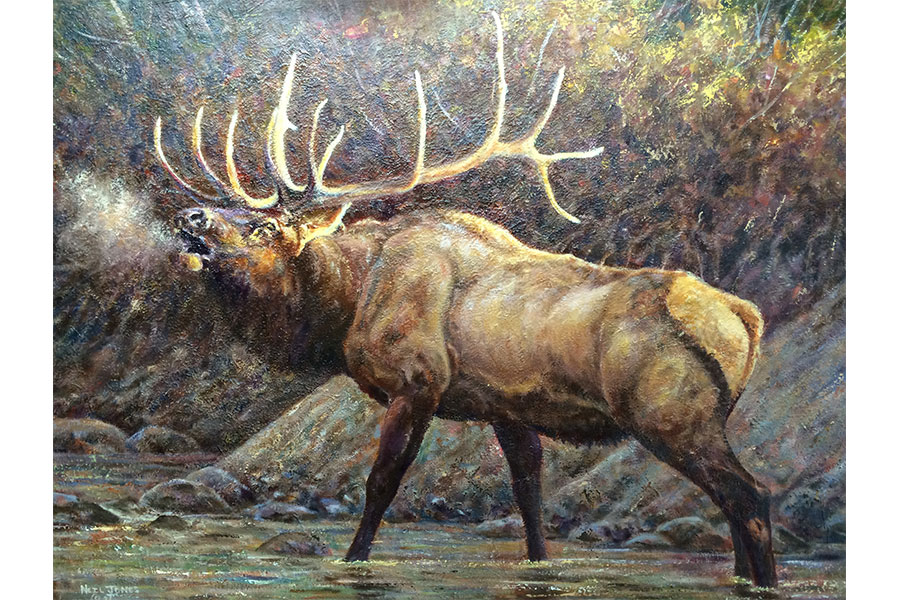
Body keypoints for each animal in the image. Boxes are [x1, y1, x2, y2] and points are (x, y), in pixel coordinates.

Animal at [153, 12, 777, 588]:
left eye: (264, 228)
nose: (191, 217)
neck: (347, 305)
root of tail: (748, 318)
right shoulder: (506, 407)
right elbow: (528, 500)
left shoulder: (419, 379)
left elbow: (380, 486)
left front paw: (352, 562)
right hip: (704, 418)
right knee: (731, 506)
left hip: (672, 414)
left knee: (751, 497)